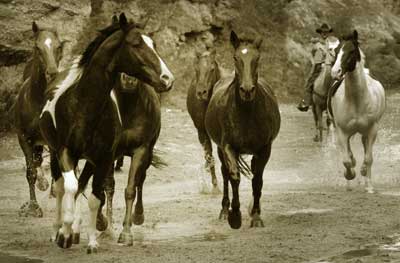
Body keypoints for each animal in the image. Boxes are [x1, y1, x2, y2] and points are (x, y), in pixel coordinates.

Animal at [13, 21, 66, 219]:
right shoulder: (24, 137)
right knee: (38, 161)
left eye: (59, 46)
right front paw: (33, 207)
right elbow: (31, 171)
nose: (52, 72)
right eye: (37, 47)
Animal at [38, 13, 174, 254]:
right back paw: (57, 230)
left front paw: (91, 240)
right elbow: (71, 187)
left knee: (83, 185)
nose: (167, 78)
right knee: (62, 188)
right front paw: (64, 234)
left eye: (154, 44)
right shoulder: (65, 151)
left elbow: (95, 196)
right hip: (55, 154)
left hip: (91, 160)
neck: (83, 106)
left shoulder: (103, 158)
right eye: (136, 44)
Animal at [205, 30, 280, 229]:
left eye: (257, 58)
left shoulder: (264, 149)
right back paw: (224, 211)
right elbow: (234, 176)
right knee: (225, 174)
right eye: (235, 57)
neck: (246, 113)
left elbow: (257, 180)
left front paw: (256, 216)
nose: (247, 90)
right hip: (219, 149)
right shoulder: (228, 147)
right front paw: (235, 216)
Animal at [330, 30, 386, 194]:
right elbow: (347, 160)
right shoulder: (342, 132)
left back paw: (366, 181)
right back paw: (349, 184)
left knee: (366, 149)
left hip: (365, 132)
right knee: (348, 153)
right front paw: (351, 174)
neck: (356, 100)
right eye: (336, 51)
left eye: (351, 51)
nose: (335, 72)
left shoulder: (372, 129)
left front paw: (368, 182)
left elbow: (368, 158)